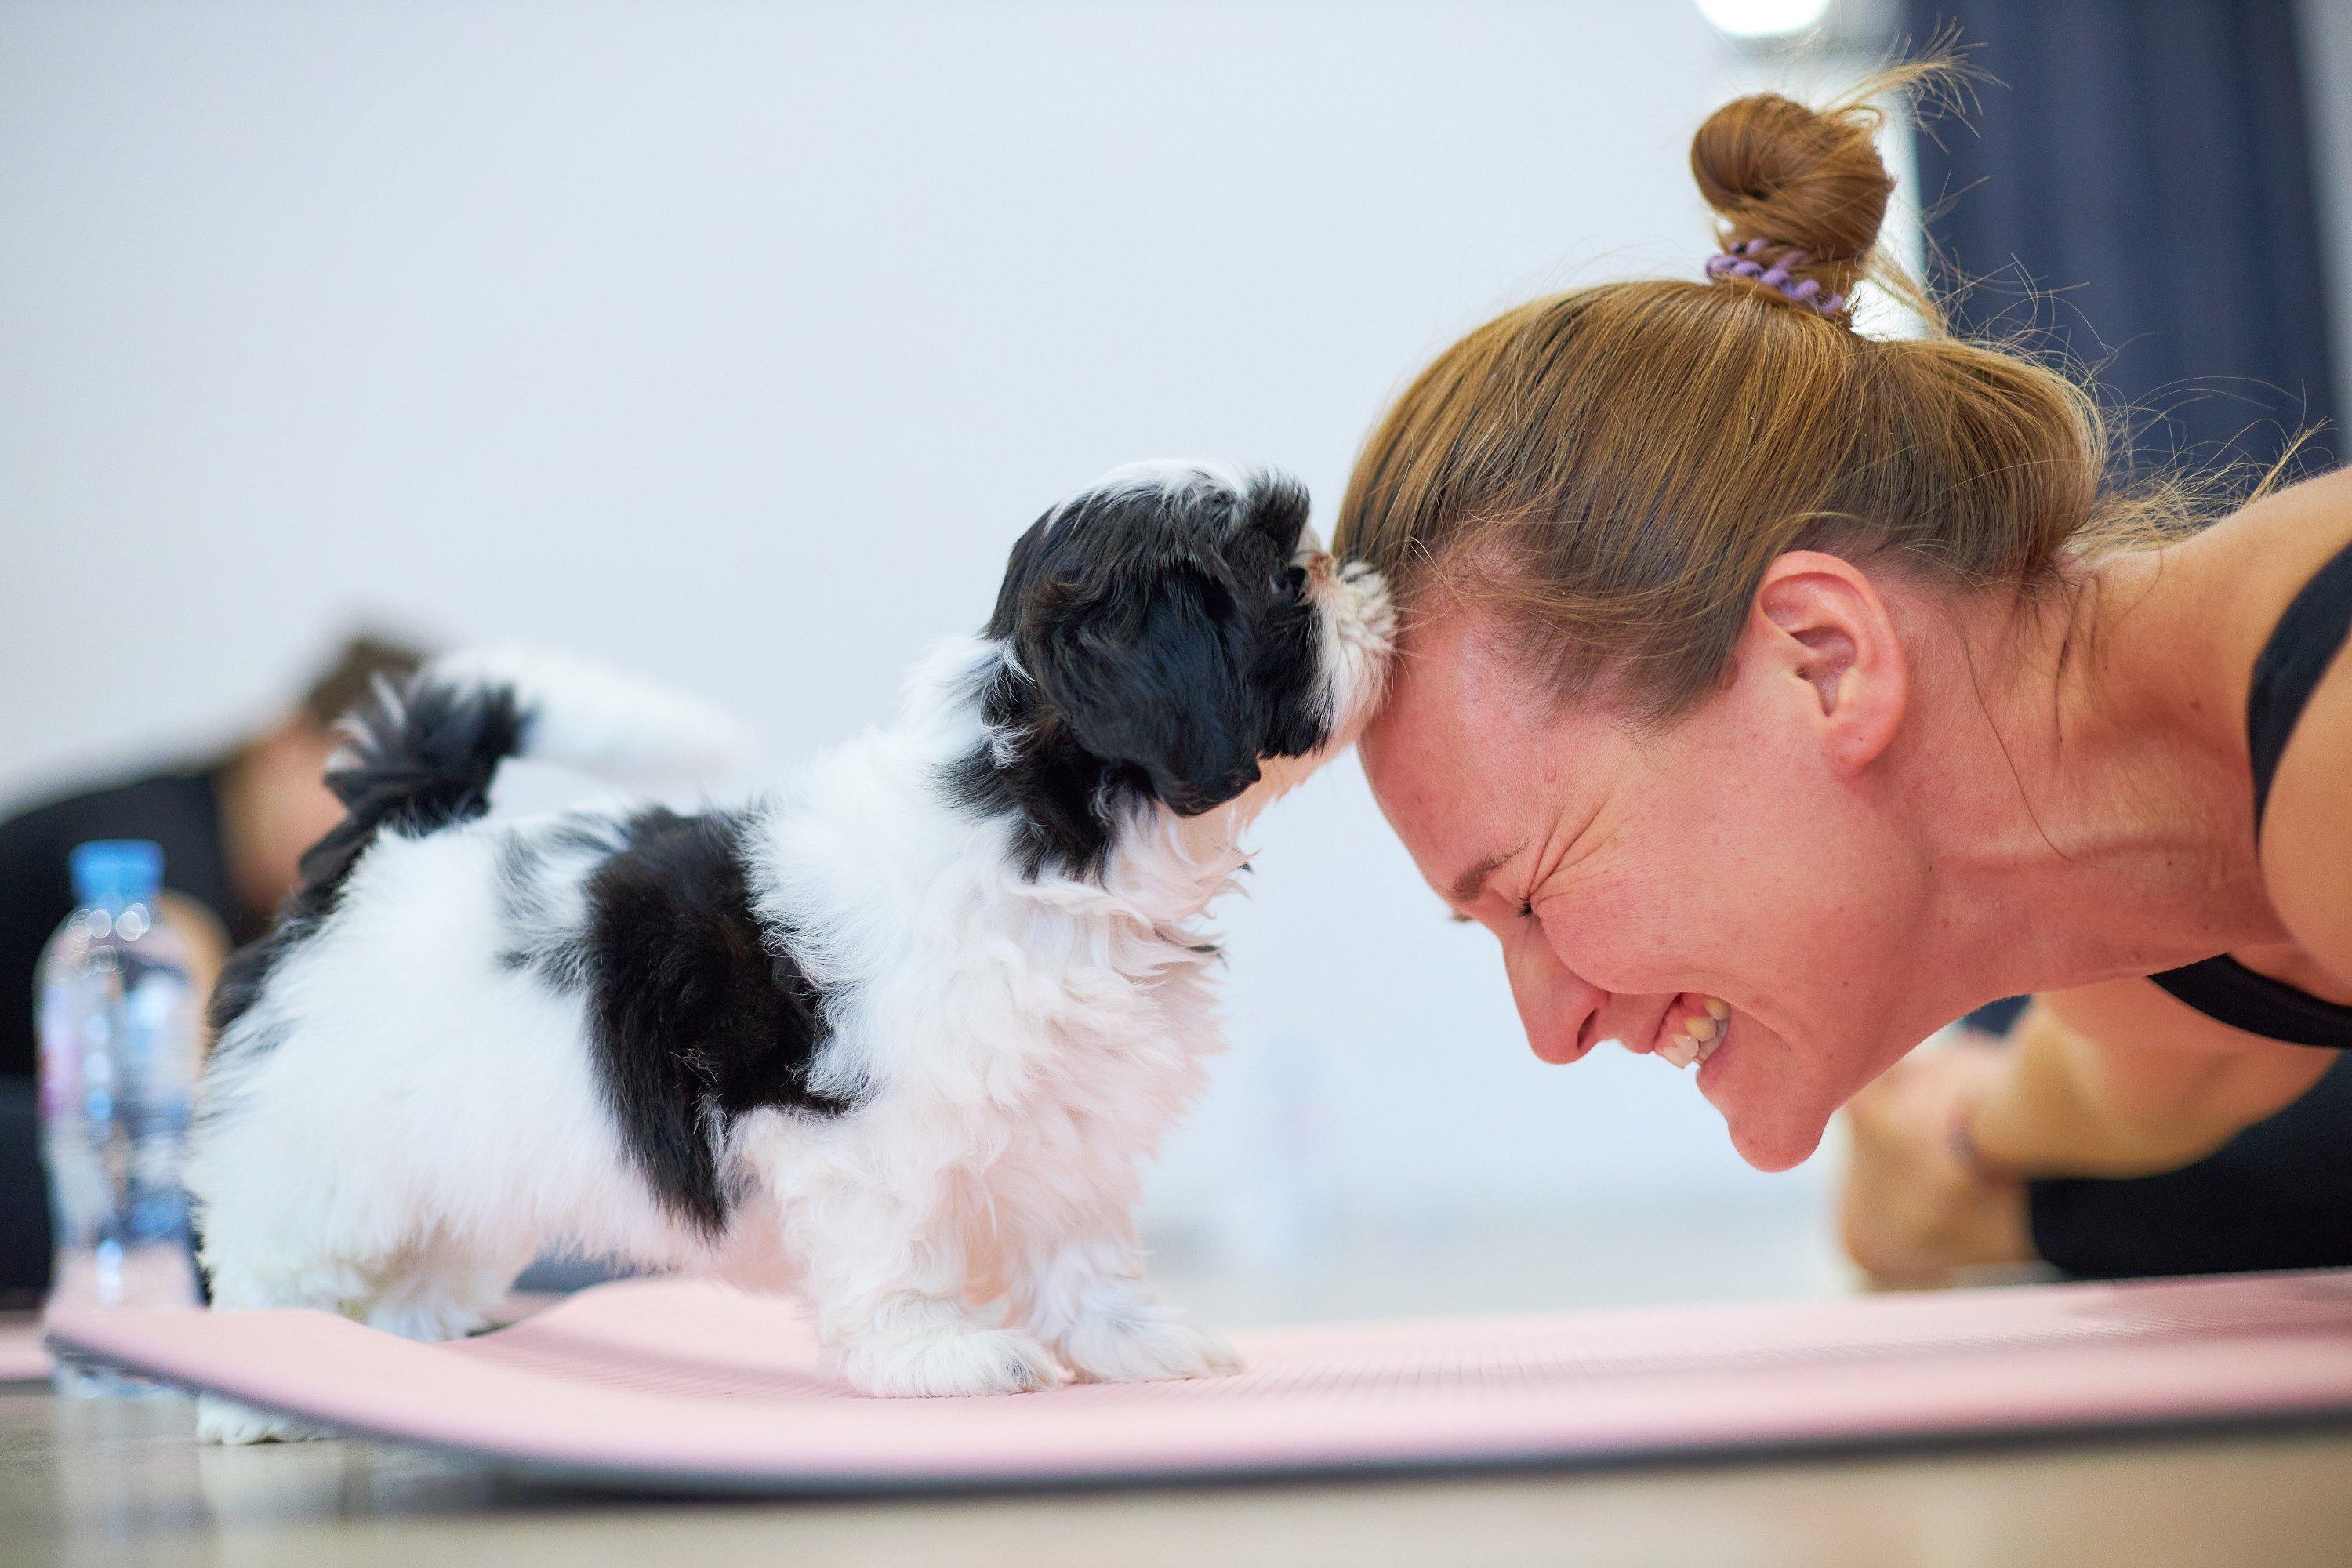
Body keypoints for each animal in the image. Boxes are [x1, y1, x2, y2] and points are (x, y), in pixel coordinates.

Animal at [198, 460, 1392, 1439]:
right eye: (1286, 582)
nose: (1369, 585)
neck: (1037, 838)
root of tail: (392, 839)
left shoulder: (1067, 1118)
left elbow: (1081, 1241)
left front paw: (1129, 1338)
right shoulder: (864, 1136)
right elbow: (901, 1249)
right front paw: (940, 1353)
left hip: (469, 1155)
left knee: (425, 1258)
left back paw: (411, 1343)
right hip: (320, 1146)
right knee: (270, 1253)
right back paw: (265, 1388)